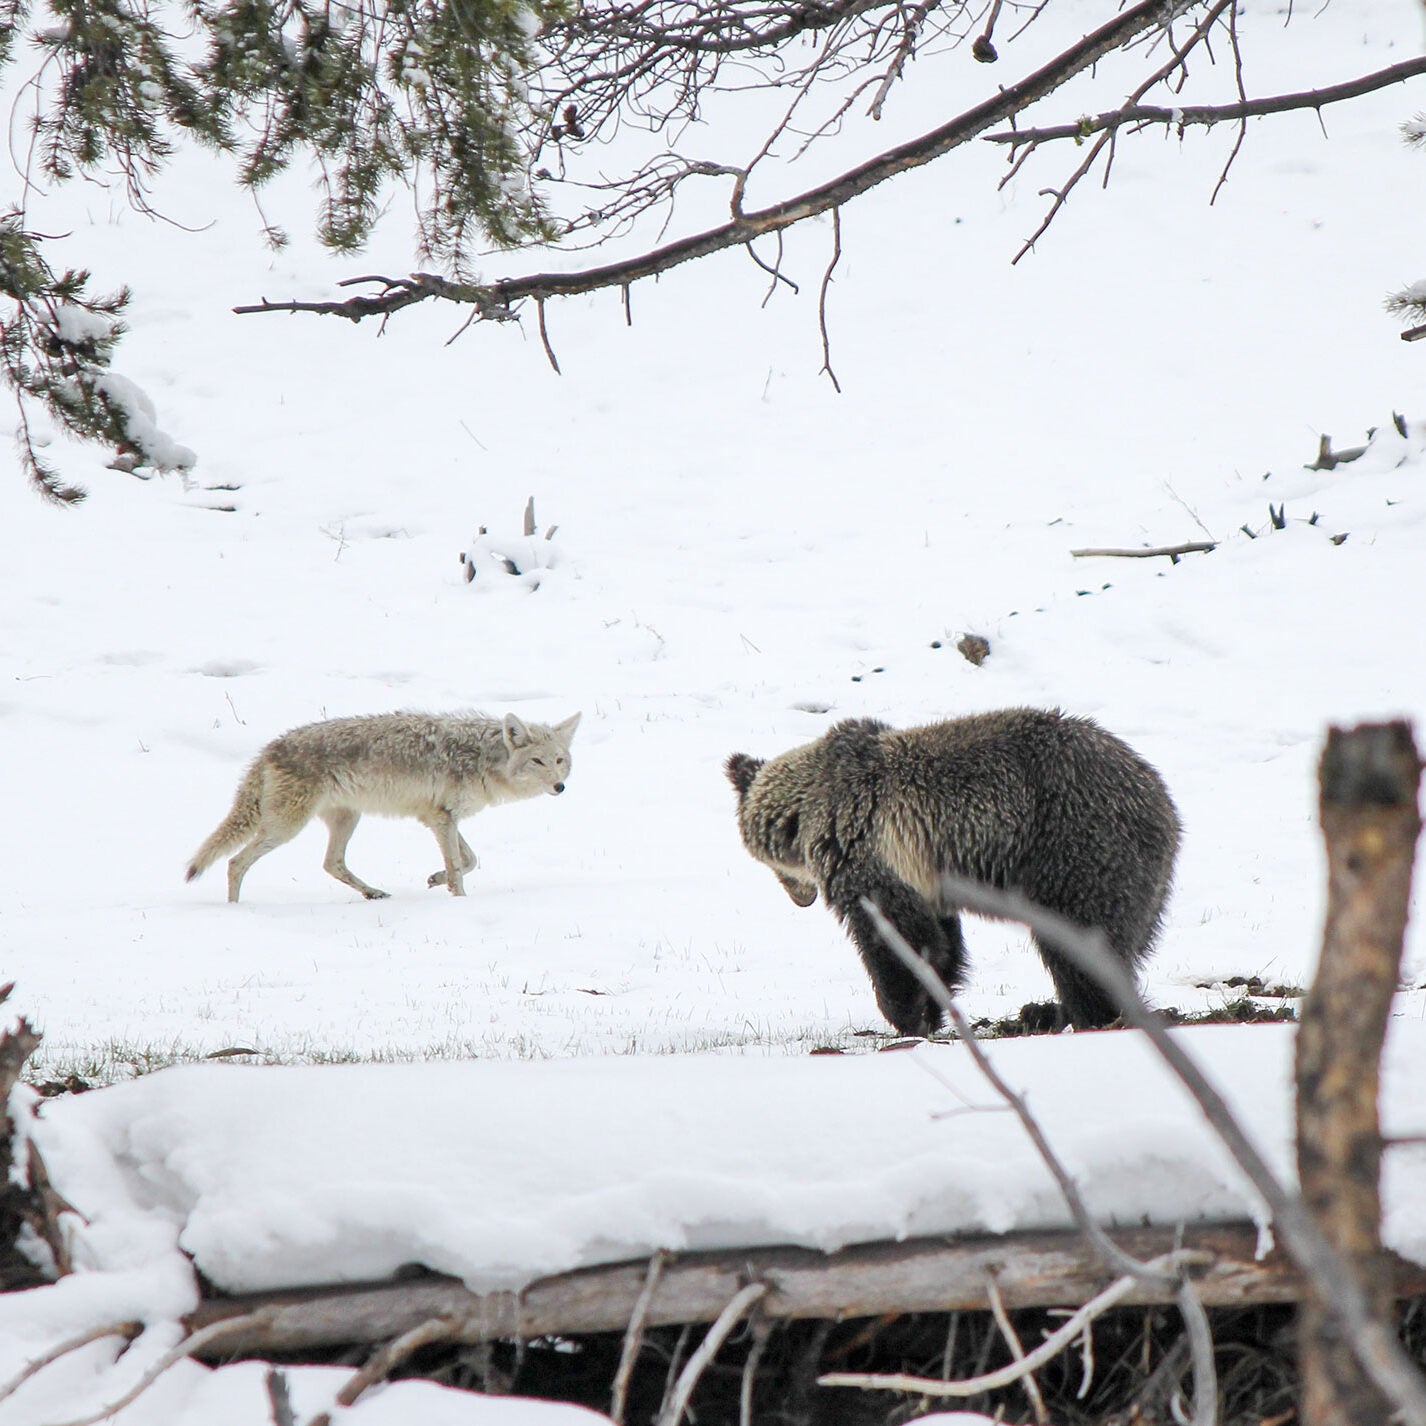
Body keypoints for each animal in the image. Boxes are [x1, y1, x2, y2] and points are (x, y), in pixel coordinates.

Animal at [188, 713, 578, 901]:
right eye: (538, 762)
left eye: (559, 760)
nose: (560, 787)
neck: (483, 759)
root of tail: (269, 748)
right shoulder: (442, 819)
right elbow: (459, 866)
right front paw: (459, 900)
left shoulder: (439, 818)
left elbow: (469, 860)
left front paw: (436, 879)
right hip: (285, 828)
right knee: (236, 862)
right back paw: (236, 910)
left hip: (346, 819)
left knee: (331, 864)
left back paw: (372, 892)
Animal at [724, 710, 1180, 1038]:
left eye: (771, 863)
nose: (801, 898)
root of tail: (1161, 800)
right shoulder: (922, 874)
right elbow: (939, 941)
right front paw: (932, 1005)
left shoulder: (869, 853)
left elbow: (893, 936)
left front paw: (906, 1013)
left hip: (1074, 844)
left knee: (1081, 941)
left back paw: (1092, 1014)